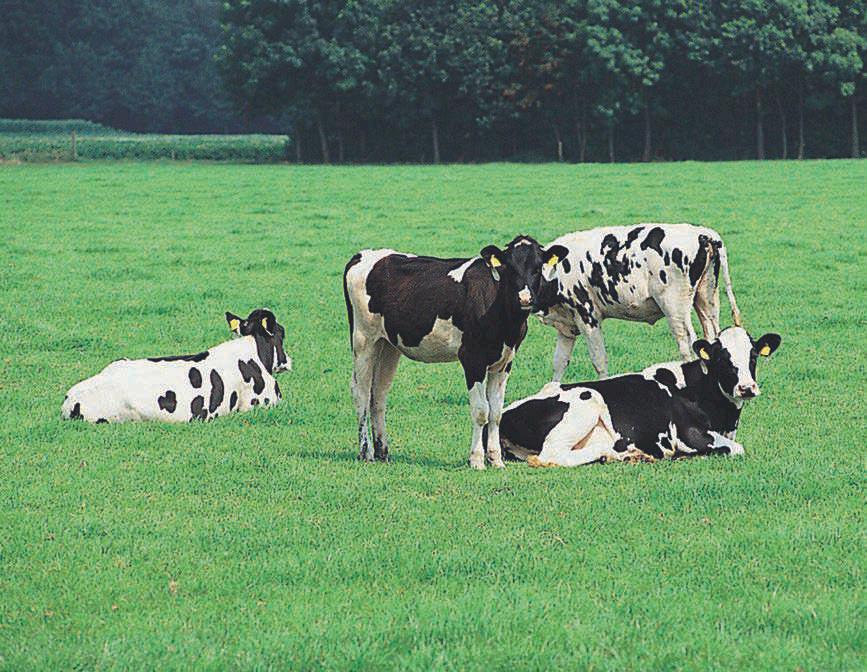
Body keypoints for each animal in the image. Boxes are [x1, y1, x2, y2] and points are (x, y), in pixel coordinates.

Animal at [343, 236, 569, 469]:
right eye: (509, 268)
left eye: (537, 268)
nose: (525, 299)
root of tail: (364, 255)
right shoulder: (472, 359)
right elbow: (481, 411)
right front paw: (477, 460)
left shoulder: (504, 362)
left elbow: (496, 413)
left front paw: (496, 460)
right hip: (363, 339)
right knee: (360, 392)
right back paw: (366, 453)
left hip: (388, 344)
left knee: (378, 394)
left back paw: (383, 452)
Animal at [497, 326, 781, 467]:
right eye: (723, 358)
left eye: (753, 356)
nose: (746, 387)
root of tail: (503, 415)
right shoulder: (688, 433)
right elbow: (736, 448)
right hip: (587, 399)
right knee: (551, 456)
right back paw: (617, 453)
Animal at [539, 223, 743, 380]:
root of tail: (703, 234)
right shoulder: (566, 325)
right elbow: (559, 362)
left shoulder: (588, 317)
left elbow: (599, 361)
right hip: (707, 299)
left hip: (676, 309)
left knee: (688, 347)